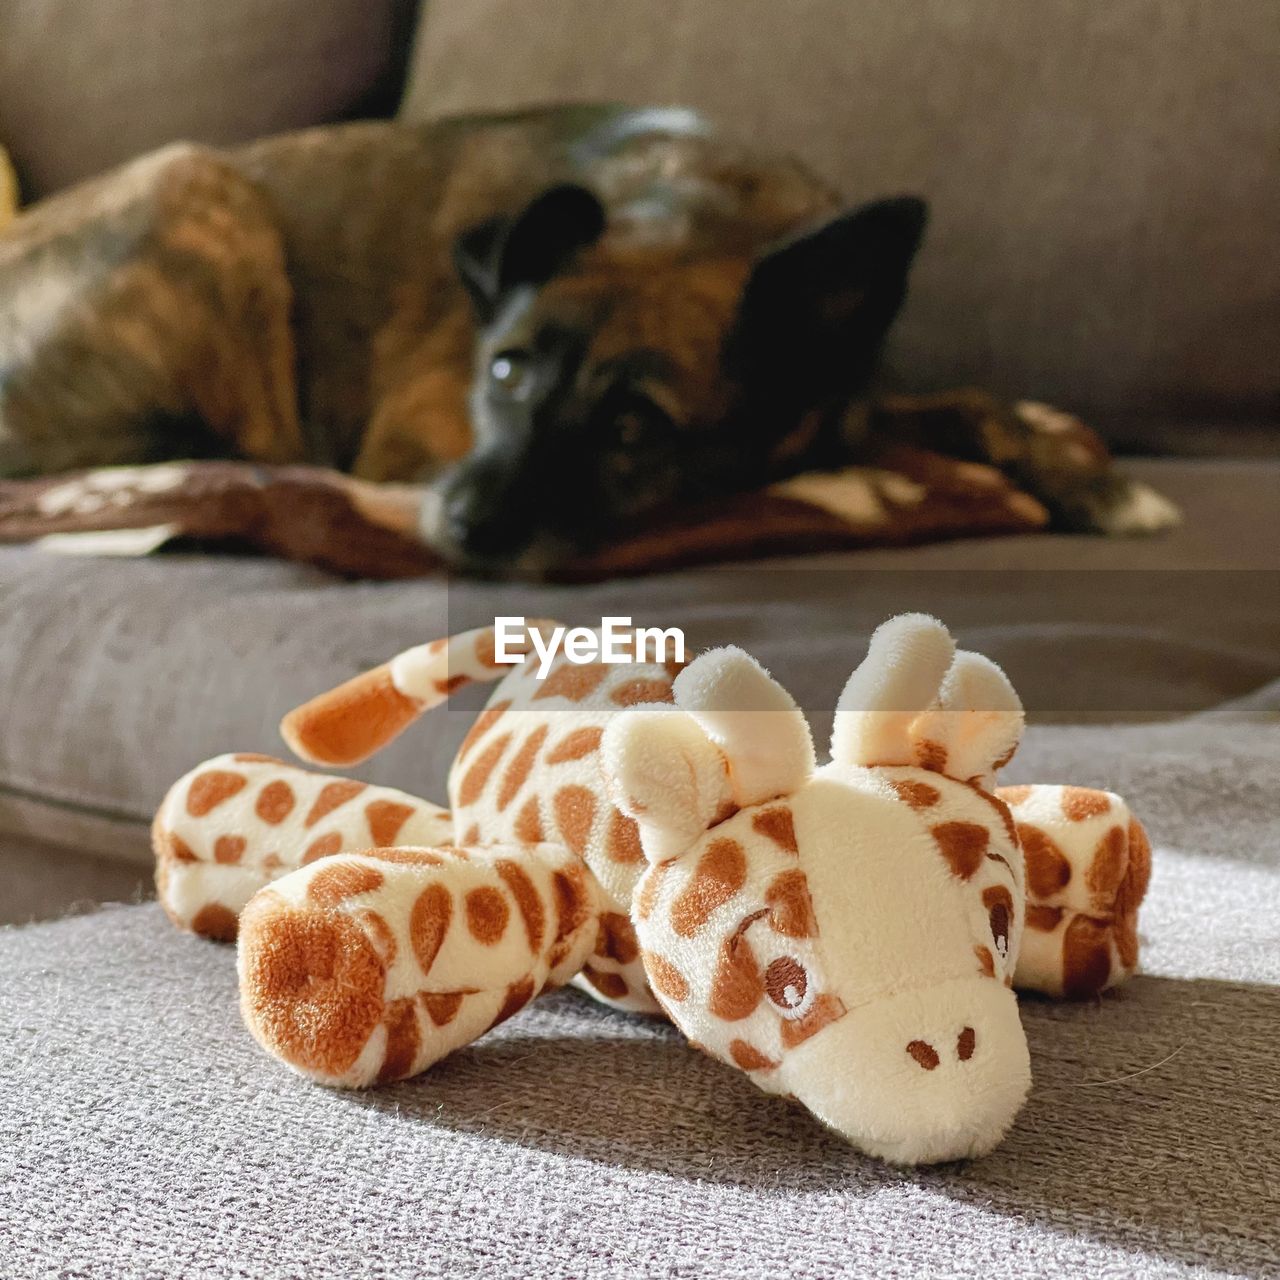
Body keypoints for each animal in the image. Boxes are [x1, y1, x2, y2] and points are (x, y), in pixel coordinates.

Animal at [0, 104, 1172, 576]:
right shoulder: (412, 434)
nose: (461, 527)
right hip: (200, 182)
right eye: (504, 370)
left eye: (632, 426)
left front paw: (1091, 479)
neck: (701, 209)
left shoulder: (843, 402)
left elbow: (969, 405)